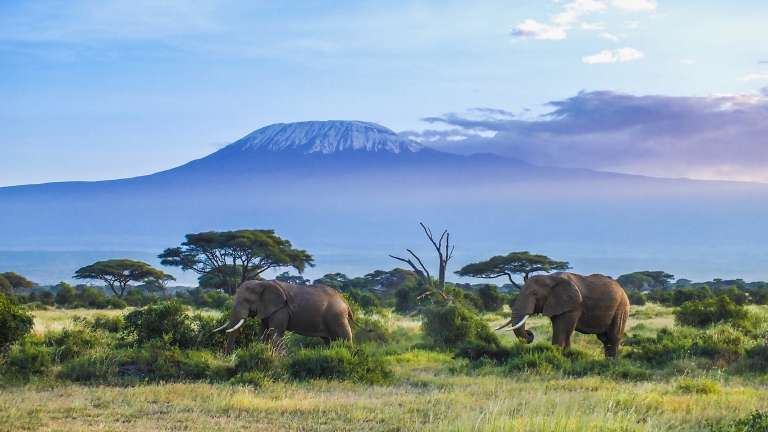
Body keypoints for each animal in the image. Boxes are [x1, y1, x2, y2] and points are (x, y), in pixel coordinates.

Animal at [213, 280, 354, 352]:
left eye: (246, 300)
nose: (228, 357)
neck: (262, 283)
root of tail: (345, 302)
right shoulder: (268, 310)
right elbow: (263, 333)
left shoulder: (281, 309)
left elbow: (275, 334)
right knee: (330, 340)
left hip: (337, 317)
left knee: (344, 337)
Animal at [497, 272, 629, 358]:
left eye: (534, 294)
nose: (530, 333)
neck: (550, 278)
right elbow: (562, 329)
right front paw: (566, 356)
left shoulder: (573, 306)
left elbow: (562, 329)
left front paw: (557, 356)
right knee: (604, 338)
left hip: (621, 307)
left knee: (613, 337)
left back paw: (611, 363)